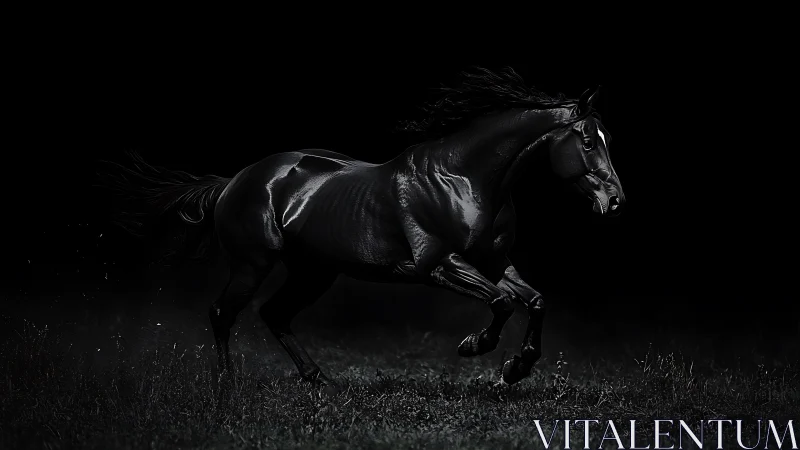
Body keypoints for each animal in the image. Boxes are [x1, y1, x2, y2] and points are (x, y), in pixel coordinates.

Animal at [101, 67, 625, 386]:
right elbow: (500, 303)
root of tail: (234, 181)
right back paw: (227, 388)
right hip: (253, 264)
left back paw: (319, 380)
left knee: (274, 314)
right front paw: (475, 346)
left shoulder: (494, 261)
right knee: (221, 314)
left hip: (313, 271)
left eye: (605, 137)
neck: (466, 178)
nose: (615, 200)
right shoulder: (438, 265)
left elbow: (534, 301)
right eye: (587, 140)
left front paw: (516, 368)